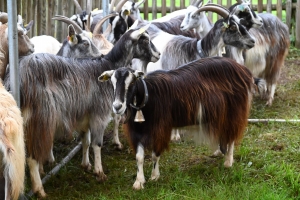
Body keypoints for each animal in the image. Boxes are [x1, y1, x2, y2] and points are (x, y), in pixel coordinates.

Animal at [4, 23, 159, 197]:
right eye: (144, 39)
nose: (158, 54)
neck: (108, 66)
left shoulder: (84, 114)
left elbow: (86, 140)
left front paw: (86, 165)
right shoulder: (99, 114)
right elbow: (97, 144)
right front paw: (99, 172)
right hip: (40, 119)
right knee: (31, 157)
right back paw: (40, 189)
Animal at [98, 55, 255, 189]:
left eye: (132, 83)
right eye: (112, 83)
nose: (117, 106)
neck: (148, 97)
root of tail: (243, 70)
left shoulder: (160, 129)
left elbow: (155, 154)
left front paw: (154, 176)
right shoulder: (137, 131)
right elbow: (139, 157)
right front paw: (139, 182)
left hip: (233, 112)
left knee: (231, 136)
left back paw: (228, 162)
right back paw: (218, 152)